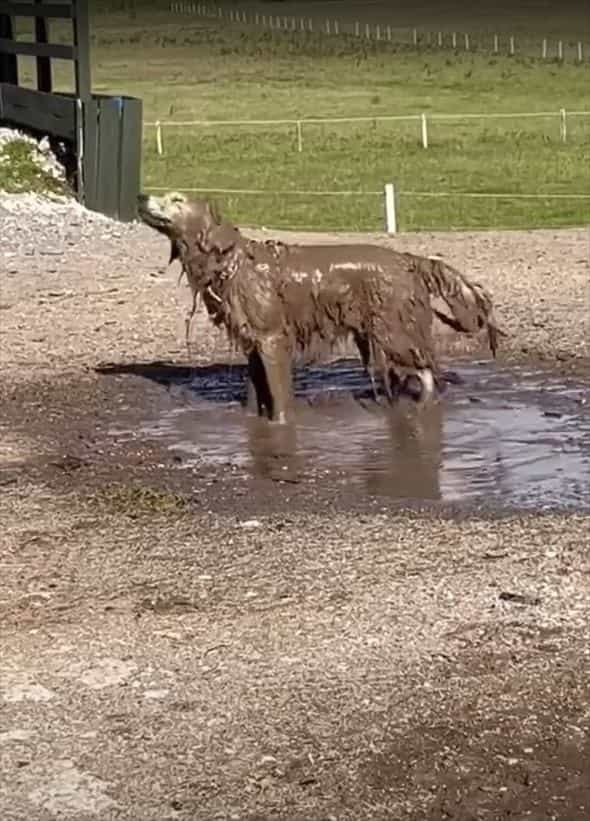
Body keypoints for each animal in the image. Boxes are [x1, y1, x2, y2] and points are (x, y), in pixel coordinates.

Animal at [139, 192, 504, 422]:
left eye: (176, 199)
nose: (141, 196)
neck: (232, 262)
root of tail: (409, 260)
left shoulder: (273, 340)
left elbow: (280, 397)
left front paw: (281, 426)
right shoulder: (252, 343)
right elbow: (255, 393)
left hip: (395, 331)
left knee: (428, 373)